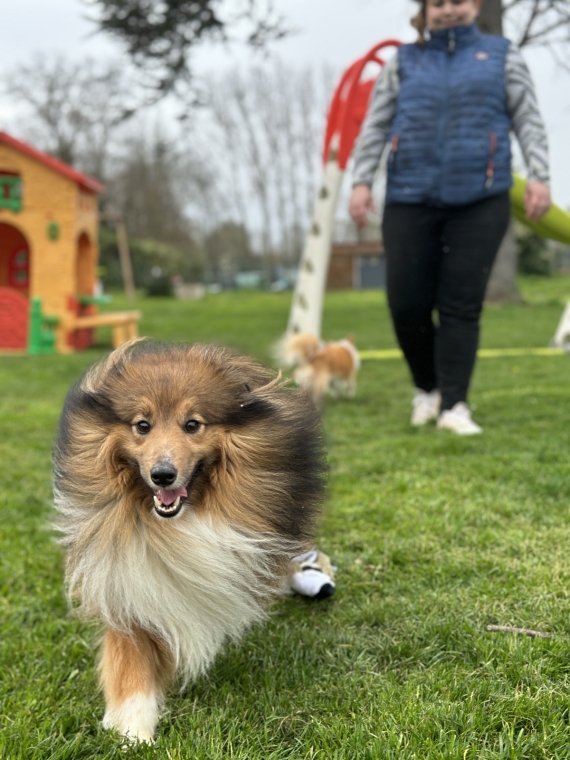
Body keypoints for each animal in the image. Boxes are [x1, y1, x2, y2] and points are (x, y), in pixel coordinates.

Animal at [56, 338, 328, 744]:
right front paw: (133, 728)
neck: (173, 524)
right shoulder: (123, 577)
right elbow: (131, 653)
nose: (163, 475)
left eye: (192, 424)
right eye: (142, 425)